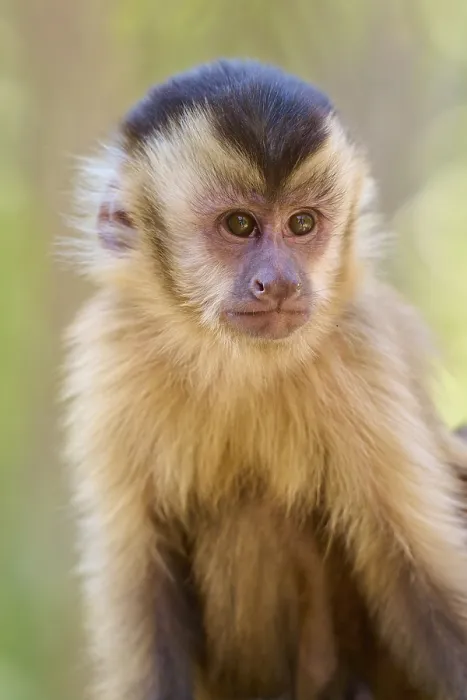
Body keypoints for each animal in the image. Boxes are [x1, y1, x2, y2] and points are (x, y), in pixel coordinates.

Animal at [62, 58, 467, 700]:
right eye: (239, 224)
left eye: (302, 223)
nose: (279, 282)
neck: (234, 361)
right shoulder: (109, 357)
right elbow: (144, 584)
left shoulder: (362, 350)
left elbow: (419, 579)